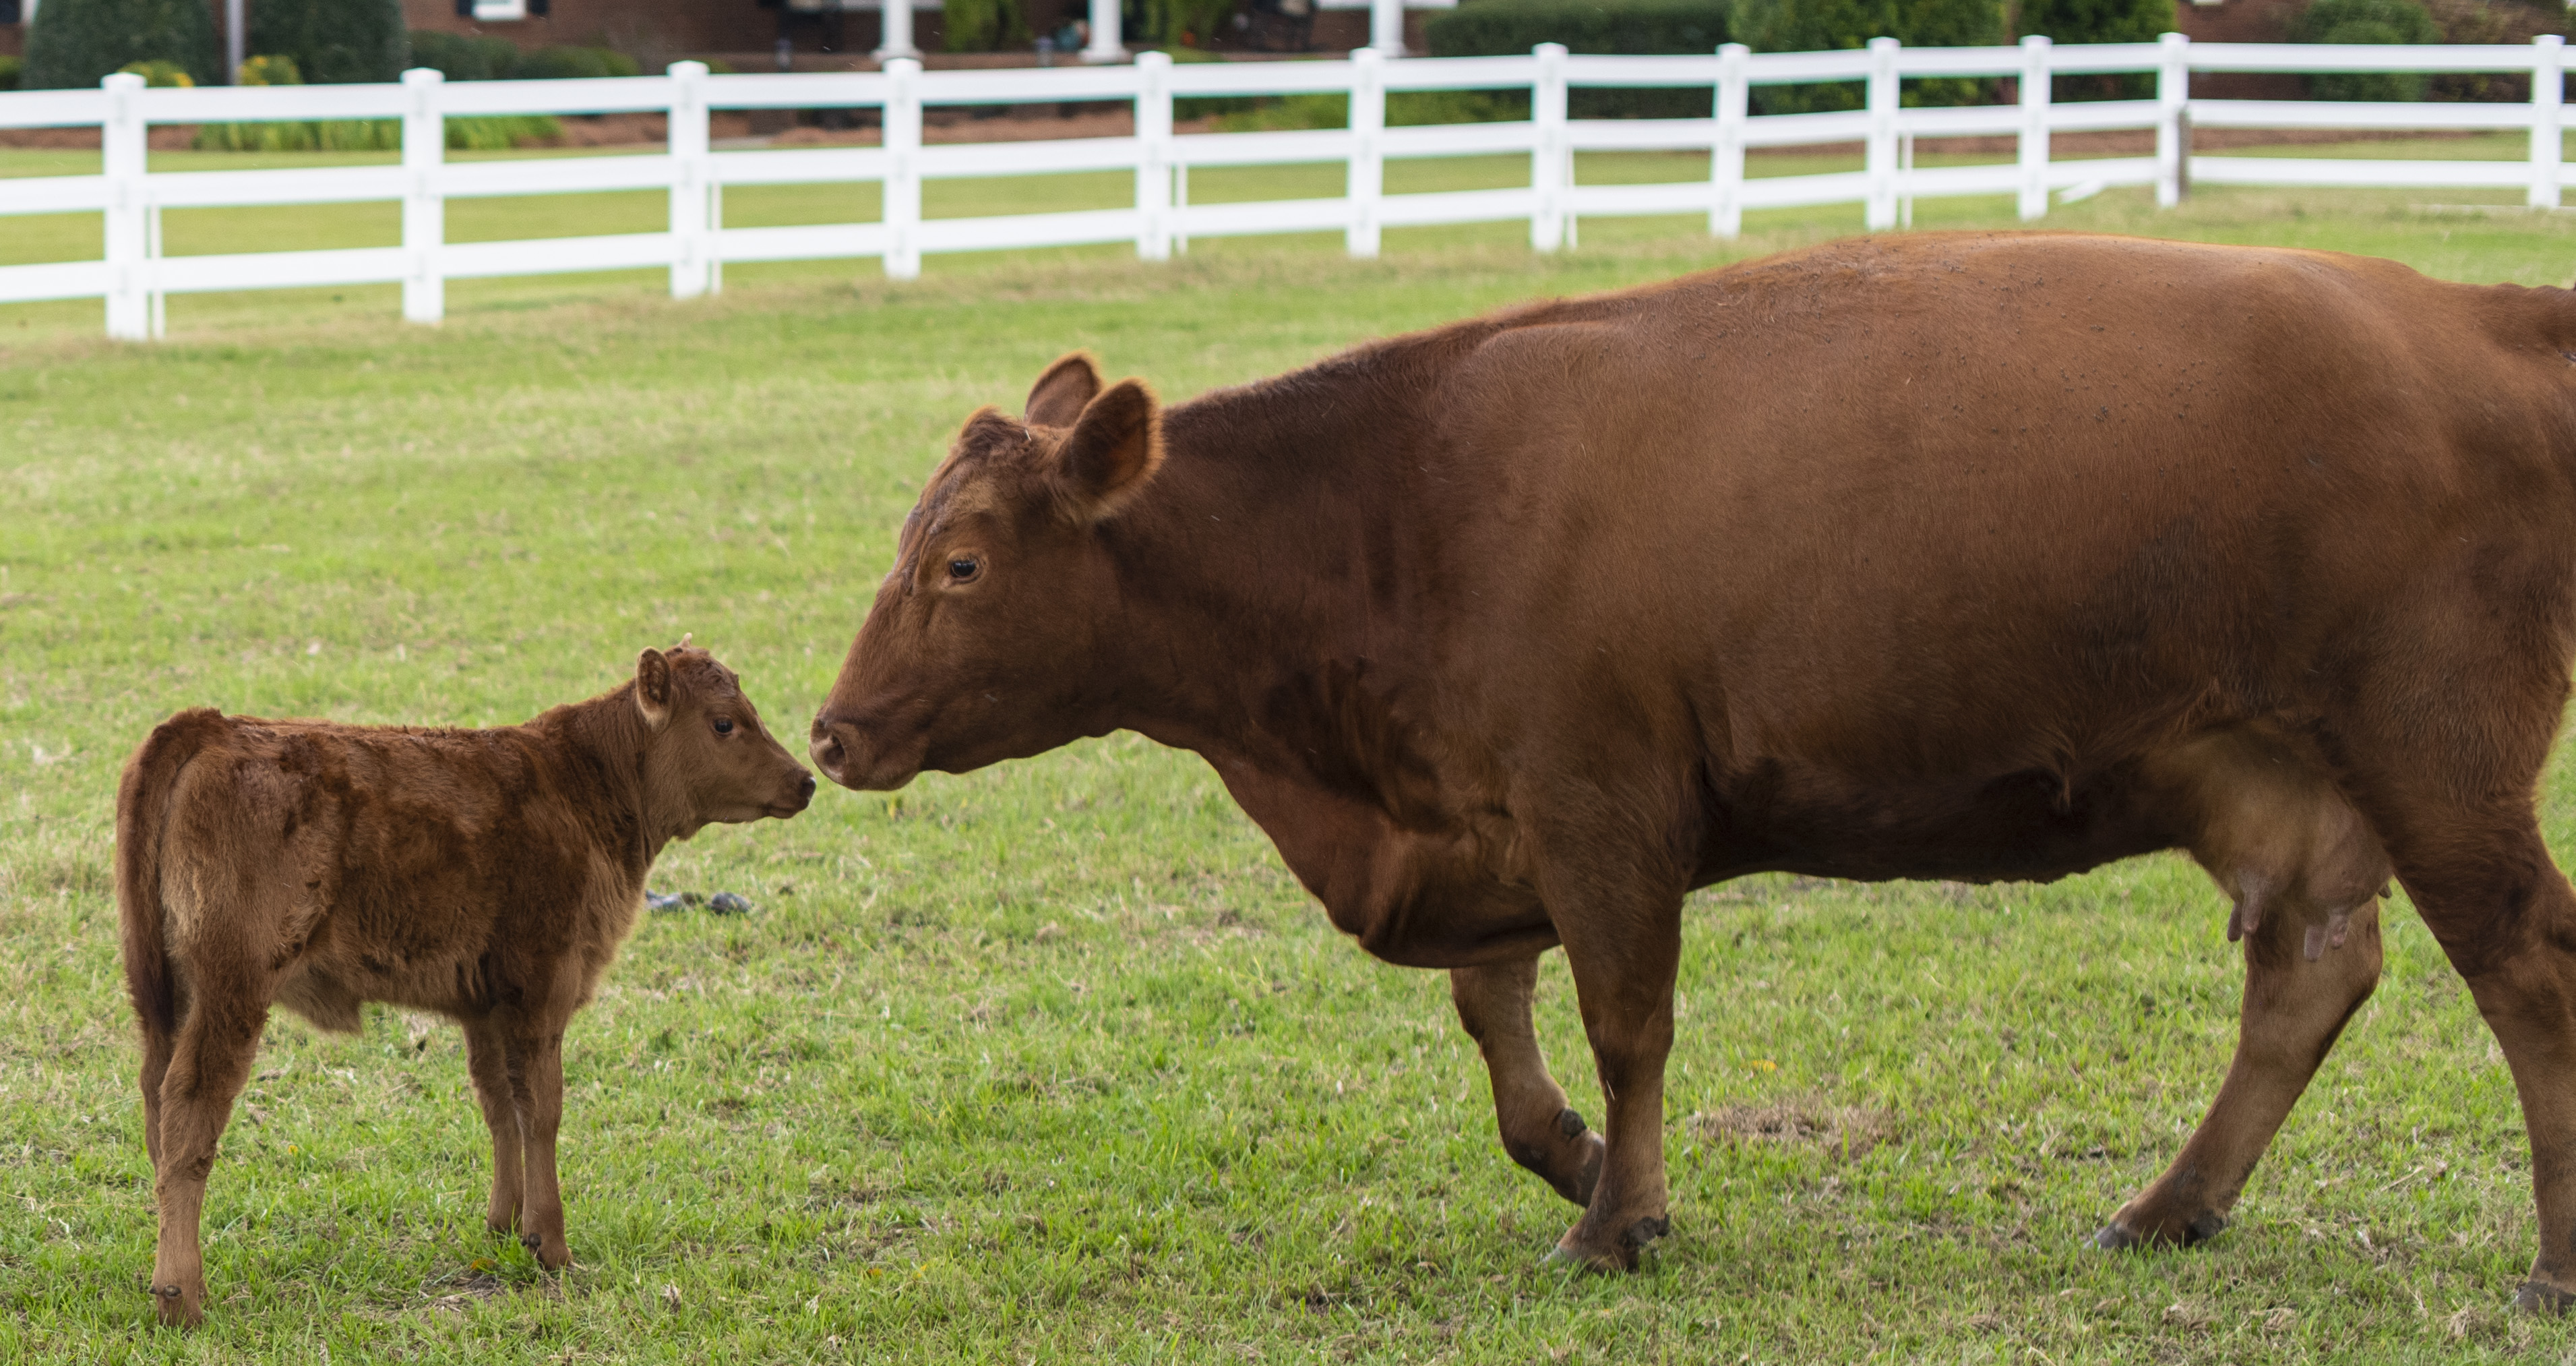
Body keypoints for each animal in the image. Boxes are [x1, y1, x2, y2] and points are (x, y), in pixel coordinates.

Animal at [116, 640, 813, 1327]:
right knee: (191, 1109)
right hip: (233, 988)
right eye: (724, 723)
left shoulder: (485, 1003)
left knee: (156, 1104)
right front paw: (552, 1244)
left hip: (163, 995)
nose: (806, 780)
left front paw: (506, 1226)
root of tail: (212, 725)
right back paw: (182, 1297)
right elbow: (542, 1109)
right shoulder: (543, 984)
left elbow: (500, 1105)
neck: (582, 784)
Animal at [807, 232, 2576, 1310]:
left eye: (962, 563)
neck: (1403, 501)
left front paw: (1622, 1218)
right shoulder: (1496, 819)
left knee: (2525, 969)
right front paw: (1581, 1159)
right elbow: (1504, 1036)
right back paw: (2171, 1203)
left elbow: (1626, 1022)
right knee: (2311, 971)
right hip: (2282, 774)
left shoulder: (1601, 805)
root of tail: (2465, 313)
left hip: (2438, 752)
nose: (830, 729)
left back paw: (2551, 1260)